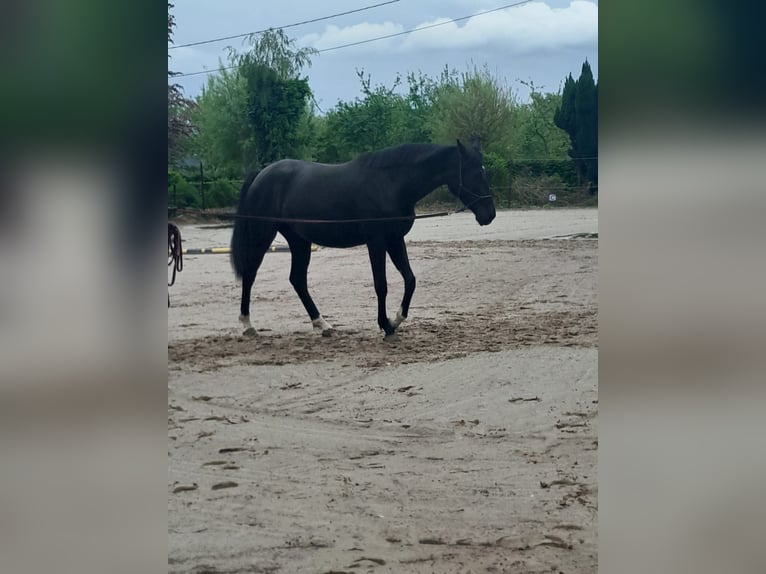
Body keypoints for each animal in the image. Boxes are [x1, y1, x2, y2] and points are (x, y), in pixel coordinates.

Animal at [231, 140, 498, 340]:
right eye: (475, 173)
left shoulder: (395, 239)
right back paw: (247, 325)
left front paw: (396, 320)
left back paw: (323, 324)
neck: (390, 184)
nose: (489, 215)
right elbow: (381, 284)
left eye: (484, 171)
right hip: (262, 234)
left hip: (299, 240)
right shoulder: (376, 241)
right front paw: (386, 327)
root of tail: (262, 174)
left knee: (297, 279)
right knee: (250, 274)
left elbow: (410, 279)